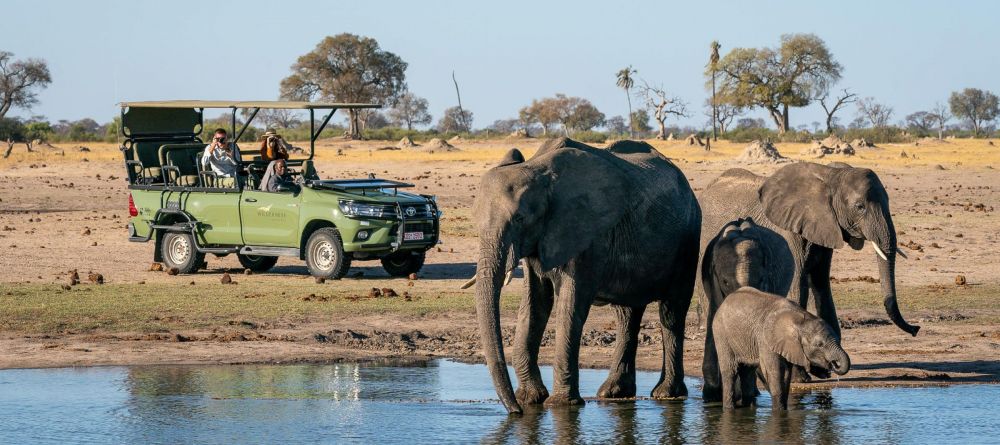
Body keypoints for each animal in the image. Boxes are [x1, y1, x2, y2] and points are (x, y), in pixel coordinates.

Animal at [464, 136, 700, 412]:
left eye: (520, 218)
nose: (515, 412)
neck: (539, 170)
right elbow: (534, 306)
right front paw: (531, 399)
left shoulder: (589, 234)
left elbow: (570, 305)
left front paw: (560, 404)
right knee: (626, 314)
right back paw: (613, 393)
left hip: (688, 239)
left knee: (672, 311)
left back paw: (666, 395)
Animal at [700, 161, 916, 346]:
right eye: (860, 207)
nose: (916, 329)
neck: (830, 176)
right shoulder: (787, 230)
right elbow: (798, 283)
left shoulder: (825, 228)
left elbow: (821, 282)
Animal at [712, 288, 852, 410]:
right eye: (819, 344)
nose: (833, 364)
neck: (800, 319)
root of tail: (723, 302)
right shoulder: (766, 340)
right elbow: (775, 372)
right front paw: (778, 412)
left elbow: (785, 374)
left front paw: (783, 410)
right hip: (721, 334)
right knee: (730, 371)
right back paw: (729, 409)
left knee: (747, 372)